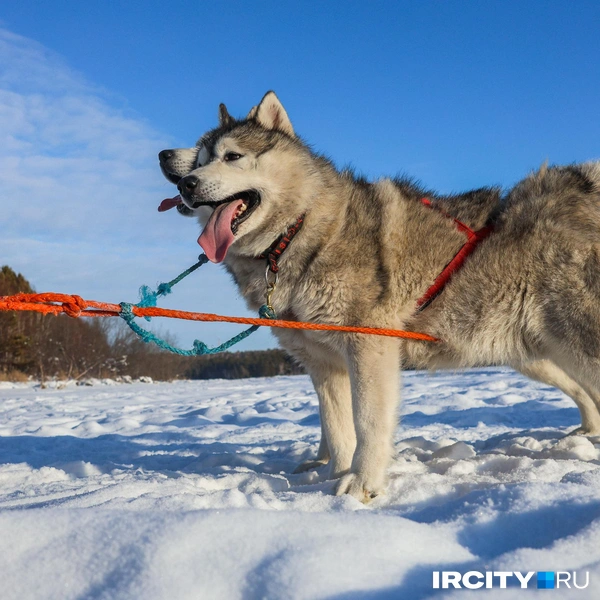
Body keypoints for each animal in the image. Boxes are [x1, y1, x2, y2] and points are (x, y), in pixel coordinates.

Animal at [158, 90, 600, 502]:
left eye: (232, 156)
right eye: (199, 161)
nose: (185, 181)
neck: (297, 233)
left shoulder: (367, 347)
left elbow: (367, 422)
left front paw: (361, 483)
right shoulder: (323, 364)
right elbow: (336, 429)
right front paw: (331, 473)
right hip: (534, 353)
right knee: (585, 393)